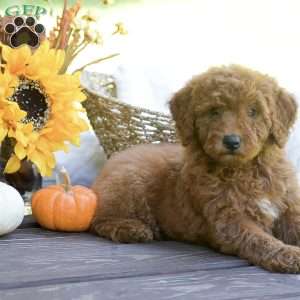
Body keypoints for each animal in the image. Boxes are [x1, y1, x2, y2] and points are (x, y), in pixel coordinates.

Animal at [91, 65, 300, 274]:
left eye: (253, 111)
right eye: (214, 111)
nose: (231, 141)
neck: (244, 169)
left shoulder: (289, 207)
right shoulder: (228, 219)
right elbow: (258, 239)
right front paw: (288, 254)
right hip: (128, 185)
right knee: (98, 220)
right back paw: (131, 228)